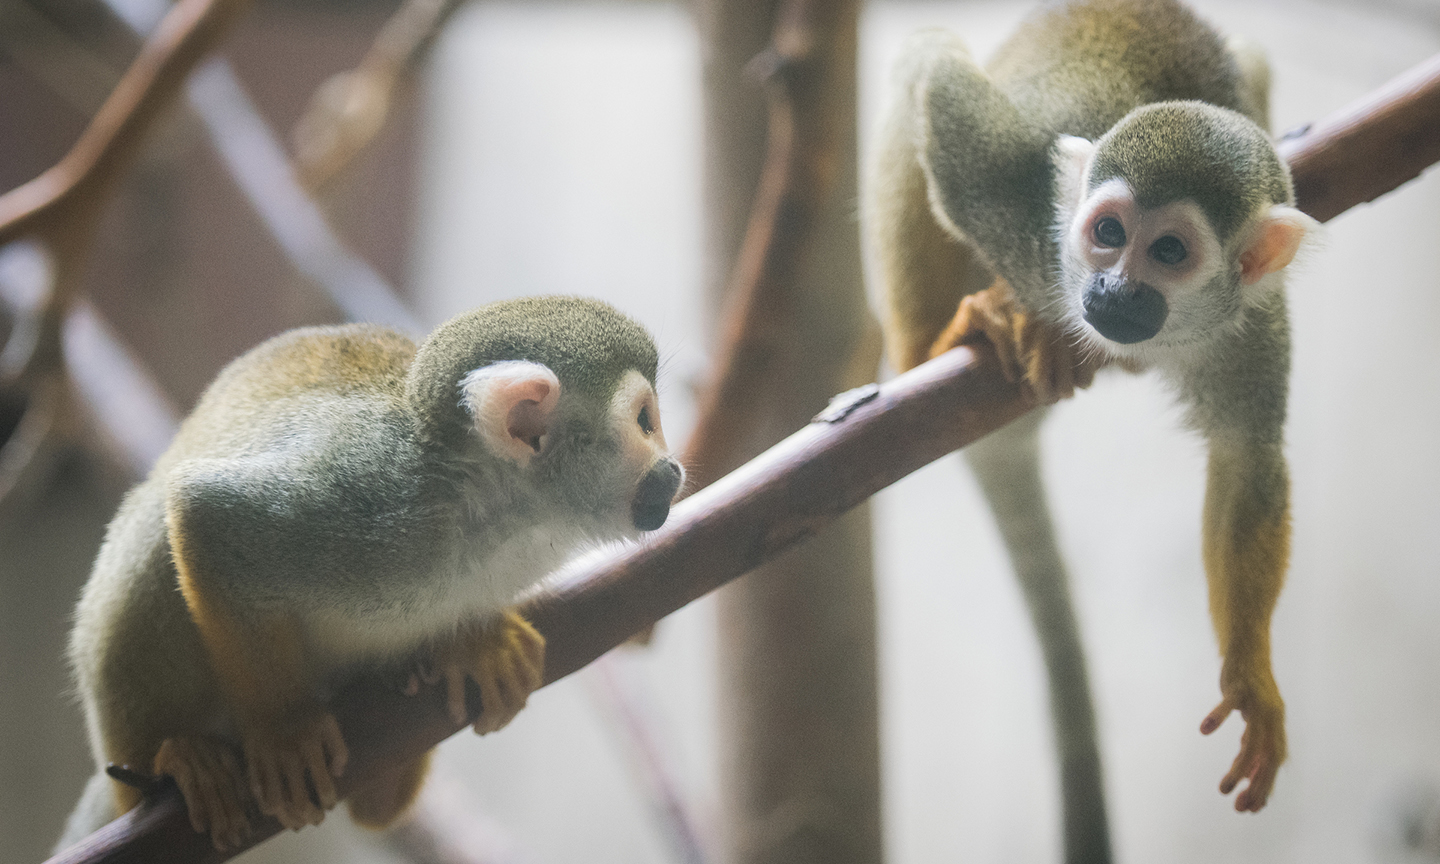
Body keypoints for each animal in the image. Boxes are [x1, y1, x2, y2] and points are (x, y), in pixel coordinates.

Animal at [56, 296, 685, 852]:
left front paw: (476, 642)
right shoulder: (370, 498)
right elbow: (208, 514)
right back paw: (177, 760)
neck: (494, 512)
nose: (673, 468)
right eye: (644, 421)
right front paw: (285, 731)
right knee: (156, 529)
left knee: (375, 810)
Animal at [864, 0, 1319, 858]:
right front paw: (1020, 320)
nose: (1111, 290)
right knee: (923, 57)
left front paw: (1251, 676)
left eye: (1169, 251)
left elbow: (1247, 464)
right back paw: (929, 344)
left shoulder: (1251, 322)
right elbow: (938, 89)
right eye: (1107, 234)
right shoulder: (1033, 235)